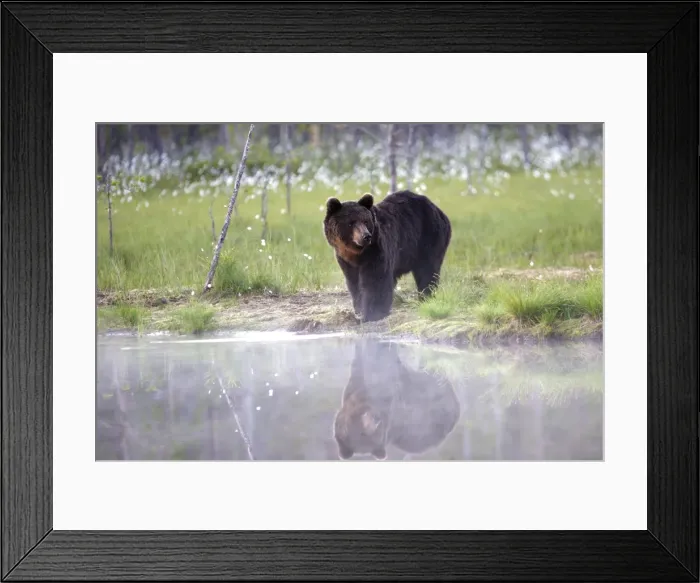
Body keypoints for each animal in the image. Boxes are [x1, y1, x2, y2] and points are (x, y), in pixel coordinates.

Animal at [323, 190, 451, 323]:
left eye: (365, 221)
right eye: (350, 223)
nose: (366, 236)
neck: (357, 253)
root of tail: (438, 209)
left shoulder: (376, 251)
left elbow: (376, 280)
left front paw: (372, 313)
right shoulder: (345, 260)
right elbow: (354, 283)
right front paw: (359, 310)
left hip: (428, 238)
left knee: (427, 270)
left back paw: (425, 297)